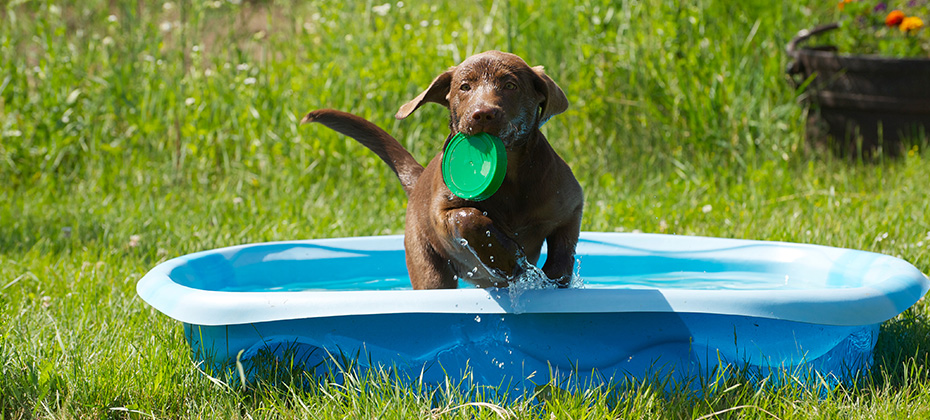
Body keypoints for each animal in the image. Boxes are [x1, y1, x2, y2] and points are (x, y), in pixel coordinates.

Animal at [302, 50, 580, 288]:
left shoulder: (571, 203)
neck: (508, 175)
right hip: (427, 266)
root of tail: (418, 180)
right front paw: (506, 258)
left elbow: (564, 243)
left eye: (510, 86)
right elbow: (468, 217)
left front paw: (554, 277)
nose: (482, 114)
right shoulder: (441, 214)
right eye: (465, 87)